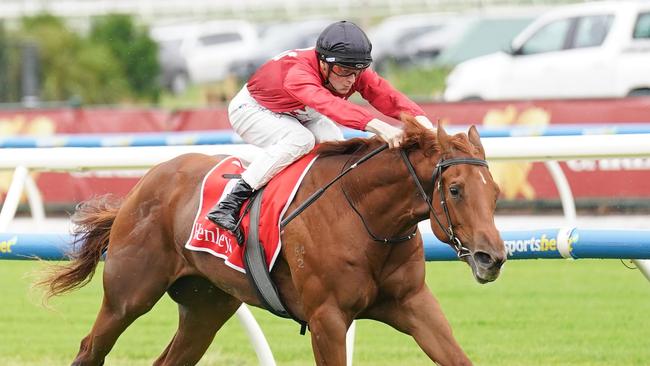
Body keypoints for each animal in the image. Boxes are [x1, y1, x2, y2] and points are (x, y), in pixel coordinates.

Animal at [38, 116, 504, 364]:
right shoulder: (327, 318)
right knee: (91, 347)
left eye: (496, 192)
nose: (492, 257)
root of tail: (143, 185)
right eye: (456, 189)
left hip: (206, 306)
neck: (364, 215)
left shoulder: (413, 304)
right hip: (128, 295)